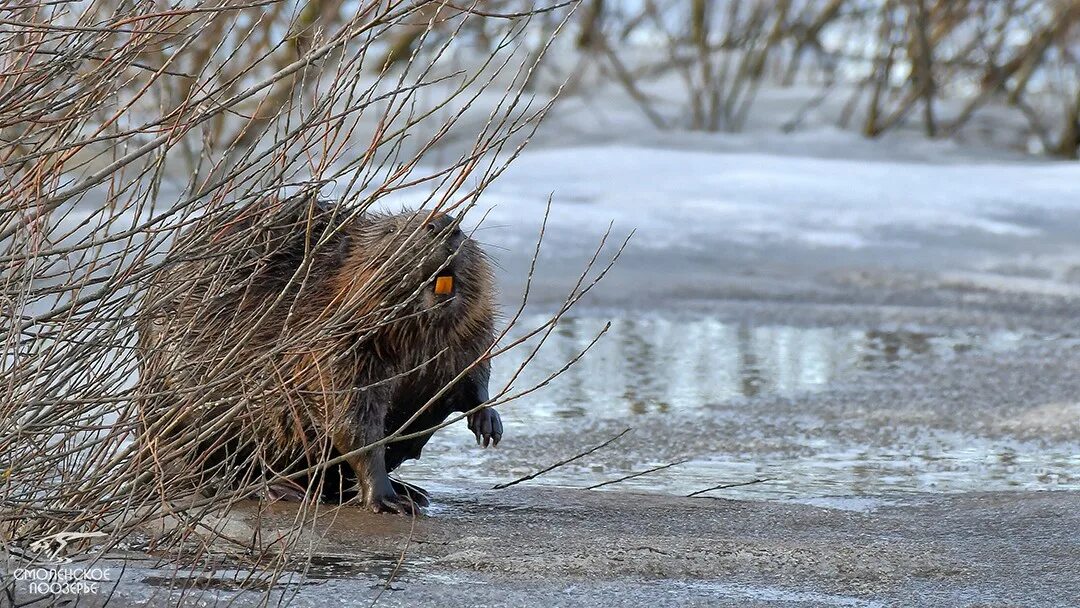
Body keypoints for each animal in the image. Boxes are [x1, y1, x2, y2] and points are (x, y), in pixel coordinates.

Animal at [136, 195, 501, 514]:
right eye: (392, 230)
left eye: (461, 226)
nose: (444, 224)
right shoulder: (328, 346)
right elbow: (351, 422)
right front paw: (386, 500)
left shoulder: (469, 335)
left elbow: (474, 372)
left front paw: (488, 423)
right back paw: (277, 489)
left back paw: (412, 490)